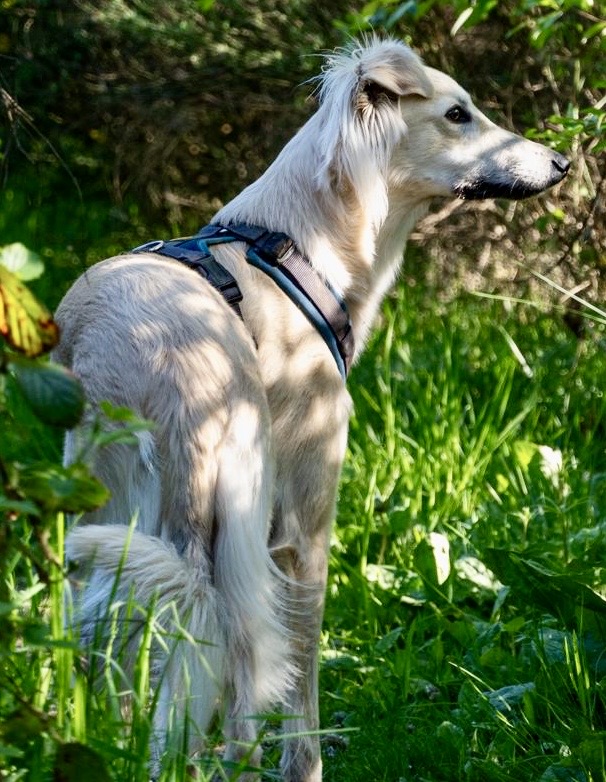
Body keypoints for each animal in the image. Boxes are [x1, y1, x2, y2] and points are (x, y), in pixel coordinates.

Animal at [53, 37, 569, 781]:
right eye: (457, 114)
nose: (562, 162)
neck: (294, 246)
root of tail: (158, 359)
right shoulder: (303, 523)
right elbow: (302, 676)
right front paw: (306, 765)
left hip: (104, 520)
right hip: (236, 520)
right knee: (239, 681)